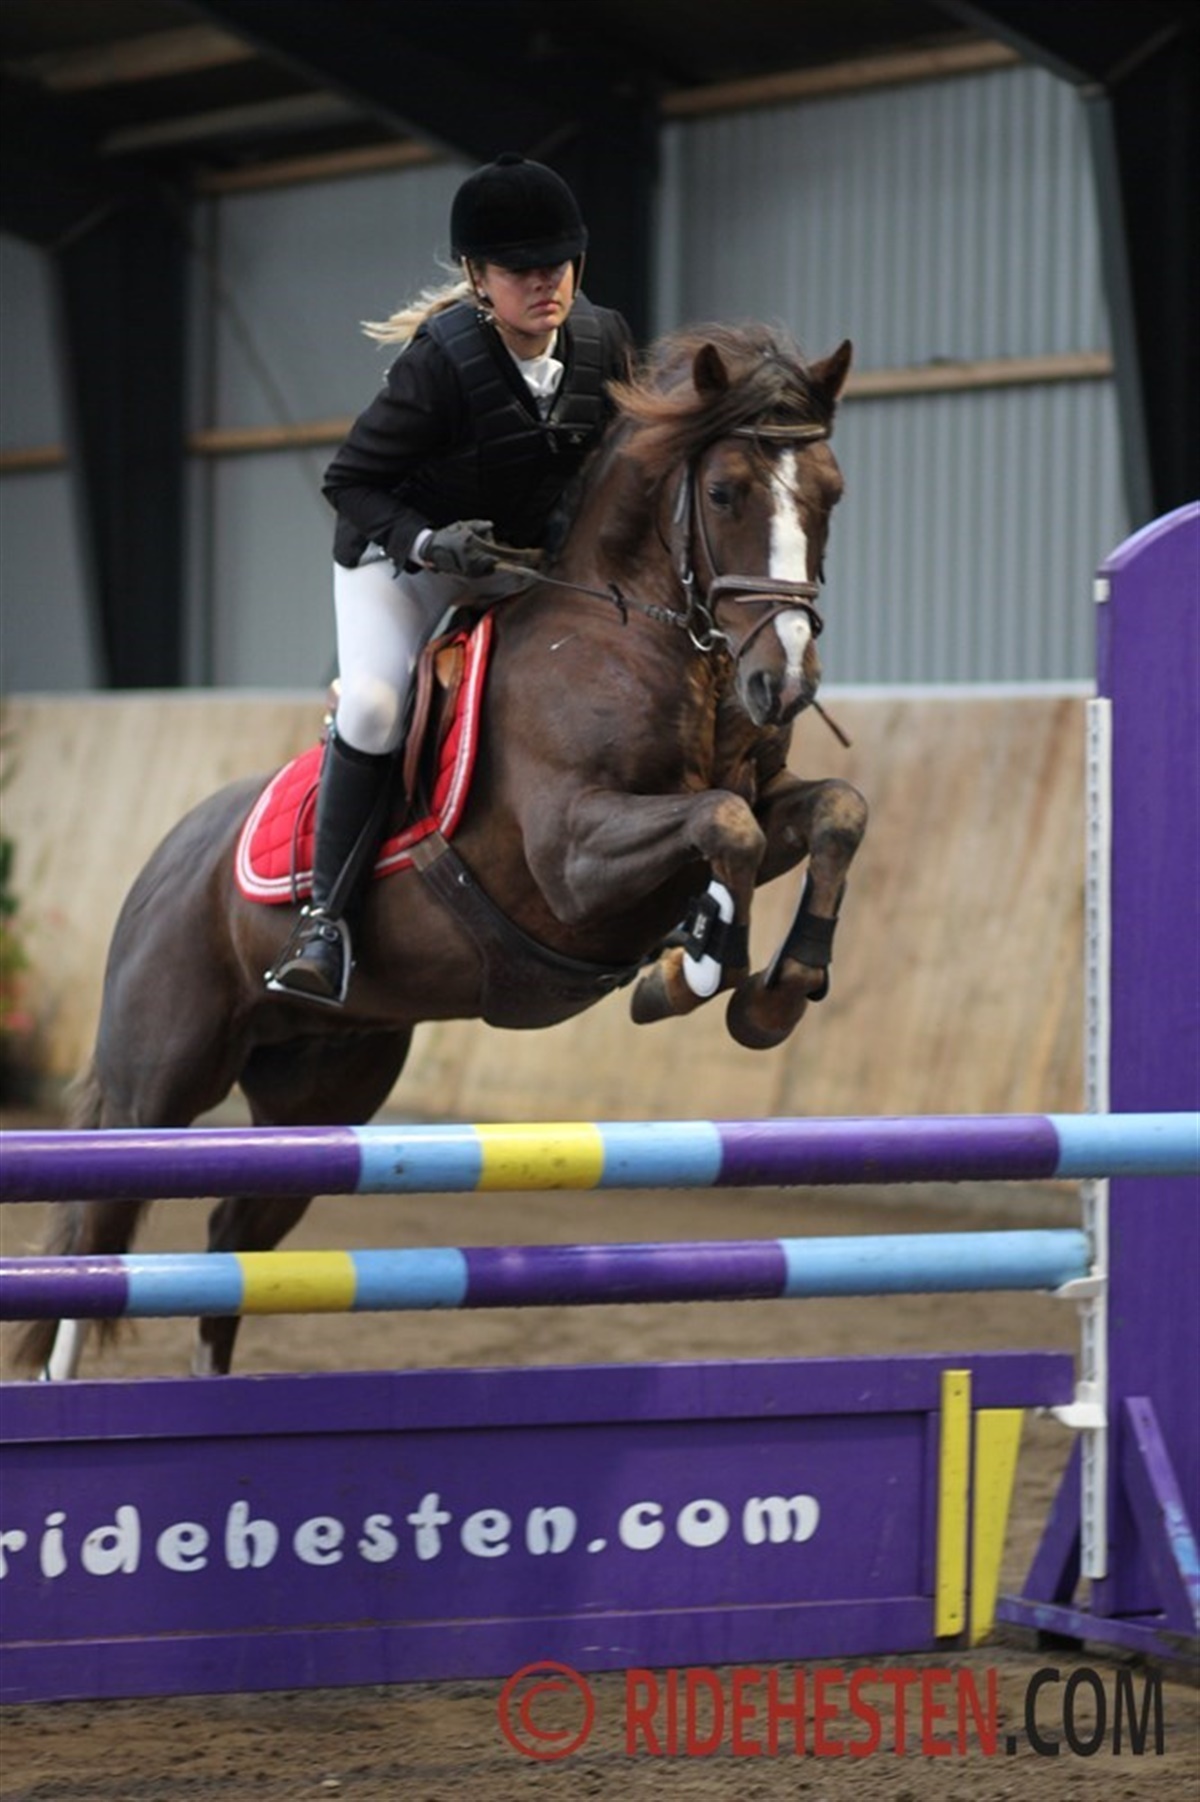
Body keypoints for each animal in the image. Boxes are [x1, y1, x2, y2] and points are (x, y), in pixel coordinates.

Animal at [14, 321, 868, 1380]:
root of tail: (165, 860)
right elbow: (724, 826)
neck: (641, 637)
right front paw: (697, 967)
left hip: (320, 1093)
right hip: (158, 1087)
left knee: (230, 1242)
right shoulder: (573, 857)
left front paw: (778, 989)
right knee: (99, 1241)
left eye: (830, 491)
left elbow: (831, 812)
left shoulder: (758, 801)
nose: (783, 683)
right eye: (723, 493)